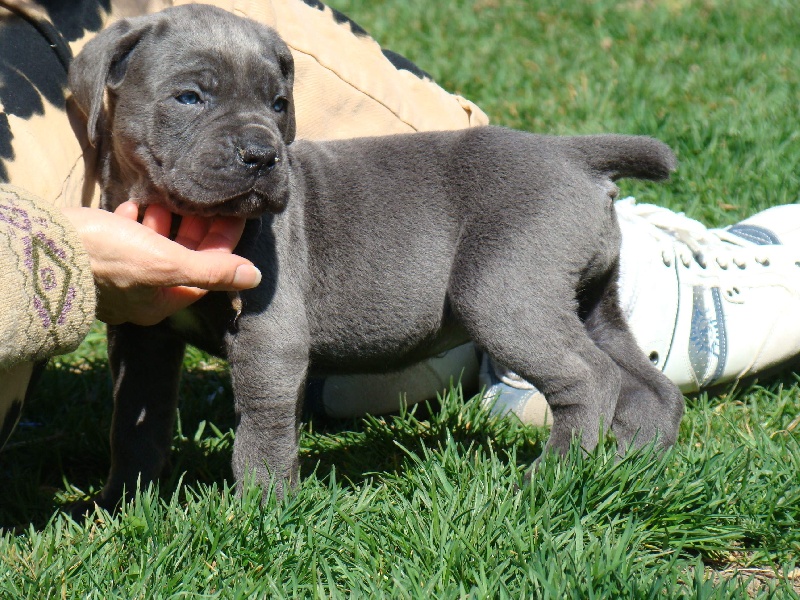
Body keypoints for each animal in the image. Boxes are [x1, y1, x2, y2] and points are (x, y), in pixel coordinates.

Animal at [69, 4, 680, 506]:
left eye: (278, 104)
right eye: (189, 97)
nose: (263, 155)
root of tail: (572, 154)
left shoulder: (269, 334)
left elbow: (262, 425)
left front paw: (261, 511)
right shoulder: (142, 337)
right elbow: (135, 422)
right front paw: (123, 502)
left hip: (504, 293)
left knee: (589, 378)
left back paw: (553, 475)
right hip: (591, 300)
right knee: (650, 387)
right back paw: (631, 469)